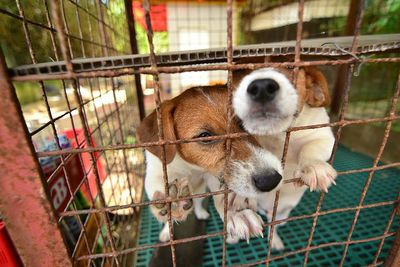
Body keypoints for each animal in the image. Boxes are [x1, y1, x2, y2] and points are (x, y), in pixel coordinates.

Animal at [136, 86, 282, 243]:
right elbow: (160, 188)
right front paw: (173, 201)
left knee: (197, 202)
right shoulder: (155, 173)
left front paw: (236, 211)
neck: (191, 166)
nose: (272, 180)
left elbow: (221, 194)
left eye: (245, 123)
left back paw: (200, 213)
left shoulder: (210, 175)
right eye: (205, 136)